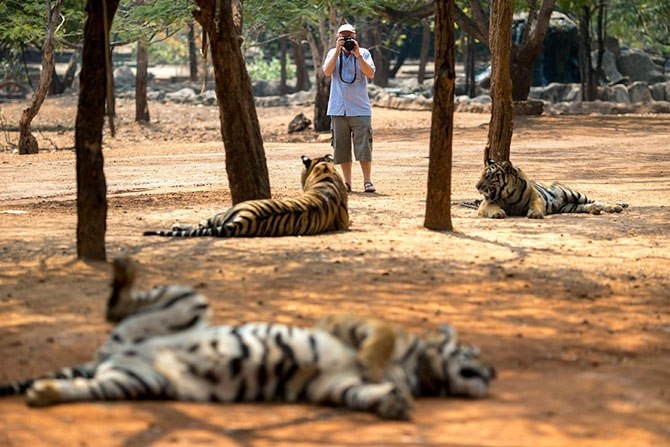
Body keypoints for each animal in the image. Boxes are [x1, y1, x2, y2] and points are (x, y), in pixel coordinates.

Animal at [0, 258, 494, 422]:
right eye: (473, 351)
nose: (493, 370)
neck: (423, 369)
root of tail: (113, 350)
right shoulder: (352, 321)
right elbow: (379, 340)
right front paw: (379, 372)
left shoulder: (331, 387)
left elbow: (359, 391)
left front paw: (392, 402)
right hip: (189, 301)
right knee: (117, 306)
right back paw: (122, 271)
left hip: (134, 381)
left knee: (86, 385)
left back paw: (44, 394)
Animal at [478, 158, 632, 220]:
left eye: (489, 176)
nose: (477, 186)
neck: (509, 195)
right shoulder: (486, 203)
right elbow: (492, 207)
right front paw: (497, 213)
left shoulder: (535, 197)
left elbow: (535, 205)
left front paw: (535, 214)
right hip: (570, 207)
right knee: (588, 205)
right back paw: (595, 210)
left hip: (574, 194)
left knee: (597, 200)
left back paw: (616, 207)